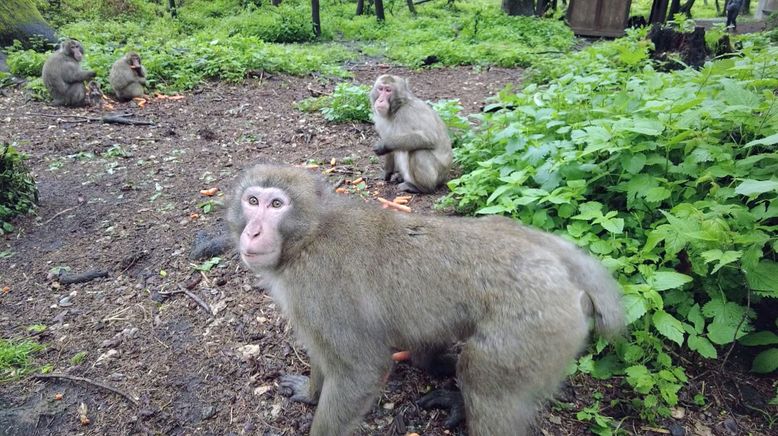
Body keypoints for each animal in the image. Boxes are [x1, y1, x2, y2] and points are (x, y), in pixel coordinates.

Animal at [226, 164, 624, 436]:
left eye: (276, 204)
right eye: (252, 201)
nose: (253, 232)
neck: (309, 236)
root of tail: (558, 258)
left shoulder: (317, 287)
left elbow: (360, 370)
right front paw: (311, 392)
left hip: (536, 324)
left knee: (486, 379)